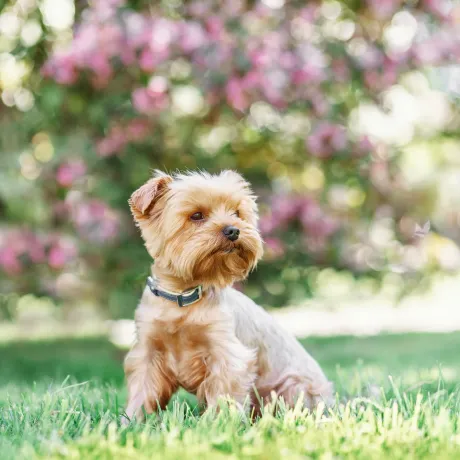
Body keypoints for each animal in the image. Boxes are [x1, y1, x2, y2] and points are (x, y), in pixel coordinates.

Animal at [122, 171, 330, 422]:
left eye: (237, 213)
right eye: (197, 215)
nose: (233, 230)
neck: (183, 295)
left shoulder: (226, 354)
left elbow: (224, 393)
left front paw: (217, 423)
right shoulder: (148, 352)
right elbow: (143, 390)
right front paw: (132, 420)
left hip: (294, 386)